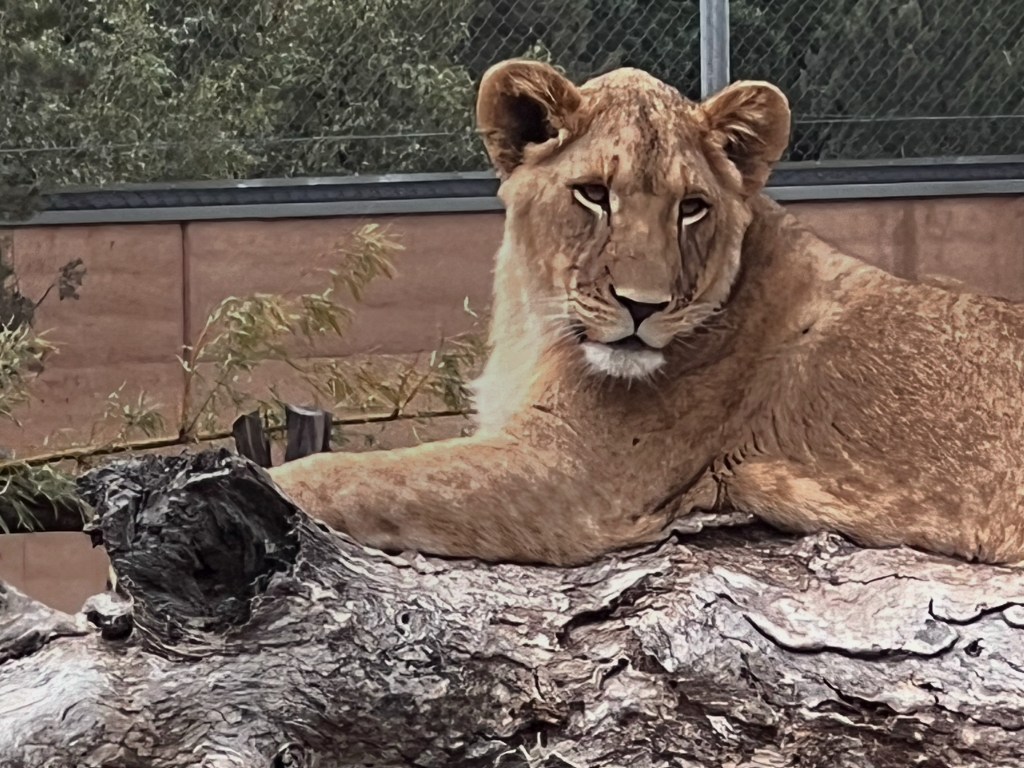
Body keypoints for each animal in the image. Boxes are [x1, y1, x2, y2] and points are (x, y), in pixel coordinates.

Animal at [268, 60, 1024, 566]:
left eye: (692, 207)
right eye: (593, 194)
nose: (643, 306)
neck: (534, 324)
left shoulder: (573, 477)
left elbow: (353, 475)